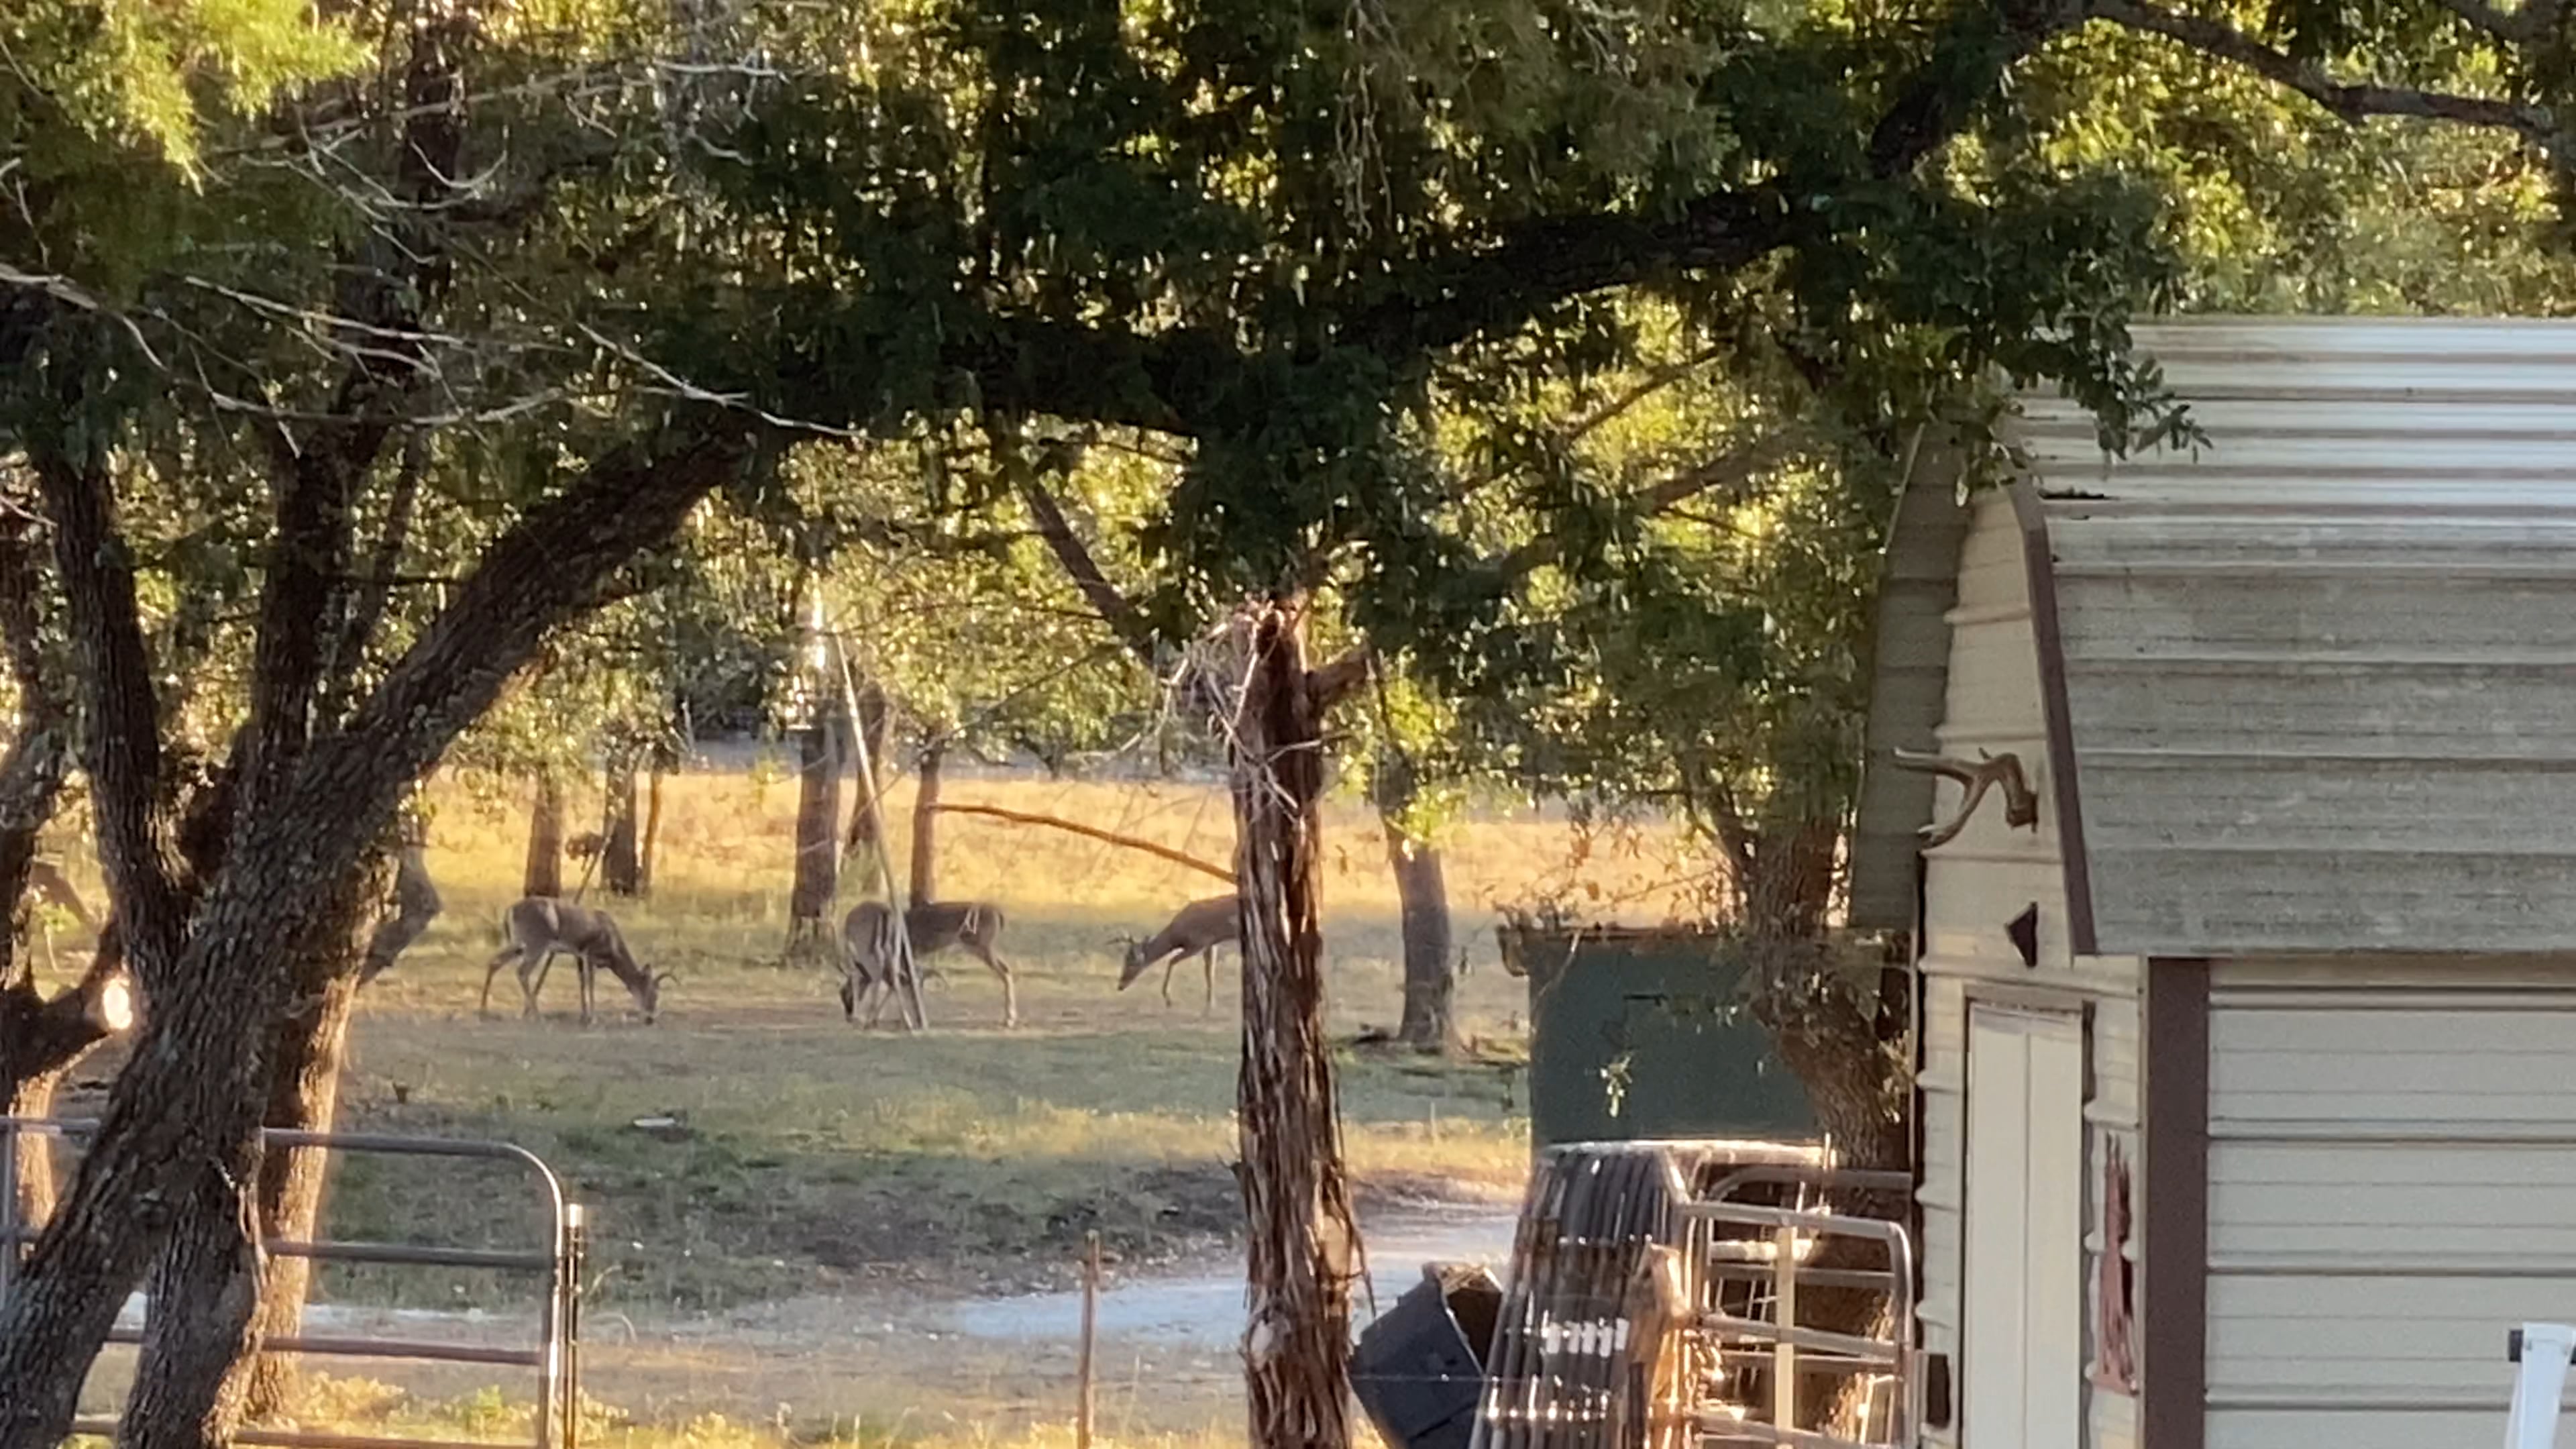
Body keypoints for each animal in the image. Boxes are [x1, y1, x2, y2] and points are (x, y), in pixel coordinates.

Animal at [479, 896, 670, 1025]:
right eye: (653, 994)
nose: (650, 1019)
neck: (613, 947)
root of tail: (510, 911)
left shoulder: (578, 954)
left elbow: (582, 981)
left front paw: (584, 1016)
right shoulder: (590, 953)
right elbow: (591, 983)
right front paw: (593, 1018)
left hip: (518, 943)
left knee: (494, 962)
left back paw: (484, 1011)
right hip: (535, 943)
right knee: (522, 971)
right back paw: (537, 1016)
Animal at [839, 900, 1016, 1029]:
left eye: (844, 993)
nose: (847, 1015)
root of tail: (998, 914)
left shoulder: (903, 957)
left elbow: (900, 983)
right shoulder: (906, 958)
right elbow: (904, 982)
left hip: (982, 946)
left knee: (1005, 971)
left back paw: (1009, 1019)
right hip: (984, 947)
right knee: (1007, 969)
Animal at [1116, 896, 1238, 1015]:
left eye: (1132, 963)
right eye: (1124, 960)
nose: (1120, 986)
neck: (1176, 936)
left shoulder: (1199, 943)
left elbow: (1172, 961)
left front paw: (1168, 1000)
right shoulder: (1211, 944)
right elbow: (1209, 973)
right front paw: (1210, 1006)